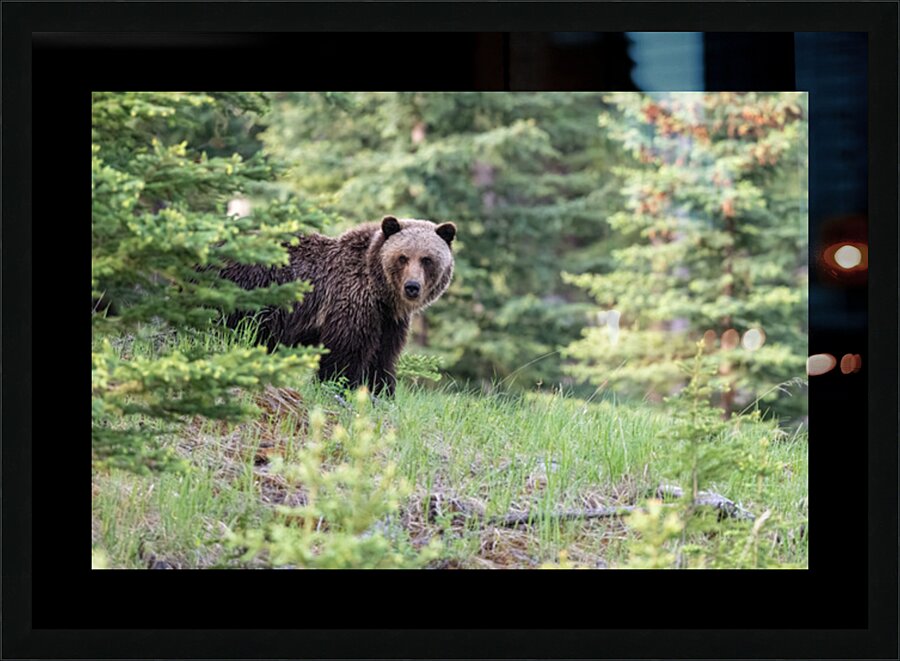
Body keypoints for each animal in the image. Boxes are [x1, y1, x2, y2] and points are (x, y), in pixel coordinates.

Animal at [220, 215, 456, 396]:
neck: (381, 293)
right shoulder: (351, 302)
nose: (412, 287)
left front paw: (383, 392)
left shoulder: (388, 321)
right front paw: (339, 387)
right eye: (403, 257)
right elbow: (346, 354)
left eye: (426, 259)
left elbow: (382, 357)